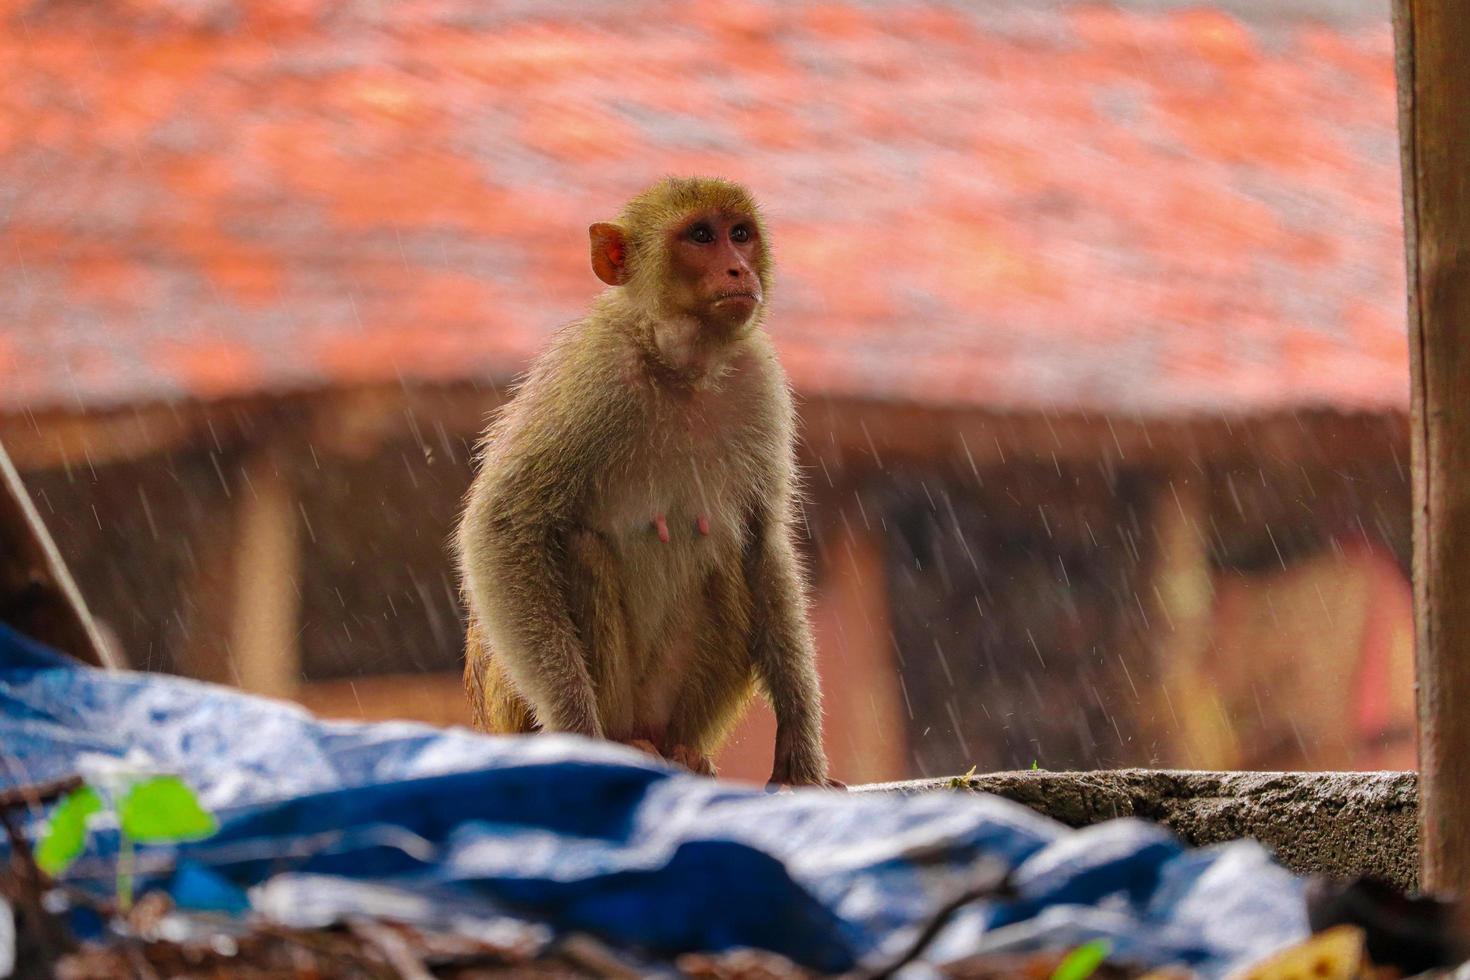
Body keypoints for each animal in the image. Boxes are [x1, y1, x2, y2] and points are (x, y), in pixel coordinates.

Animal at [452, 176, 834, 787]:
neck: (679, 365)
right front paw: (577, 733)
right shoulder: (592, 375)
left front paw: (800, 748)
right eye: (700, 236)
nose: (738, 269)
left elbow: (763, 542)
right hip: (521, 711)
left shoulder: (759, 380)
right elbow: (502, 525)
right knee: (577, 549)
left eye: (740, 234)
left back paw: (681, 754)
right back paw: (616, 743)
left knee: (729, 562)